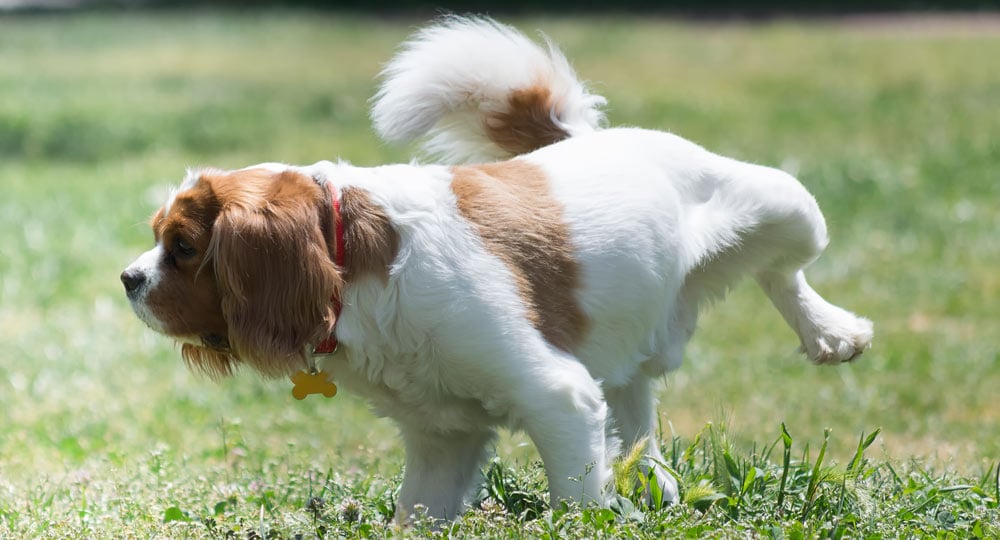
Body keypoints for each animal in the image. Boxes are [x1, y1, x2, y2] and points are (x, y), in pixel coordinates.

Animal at [117, 16, 872, 524]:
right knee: (638, 411)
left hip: (785, 204)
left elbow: (575, 504)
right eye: (159, 240)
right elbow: (417, 513)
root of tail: (589, 139)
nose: (128, 279)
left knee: (785, 270)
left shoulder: (559, 398)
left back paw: (831, 332)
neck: (356, 271)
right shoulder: (440, 442)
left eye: (182, 246)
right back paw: (652, 483)